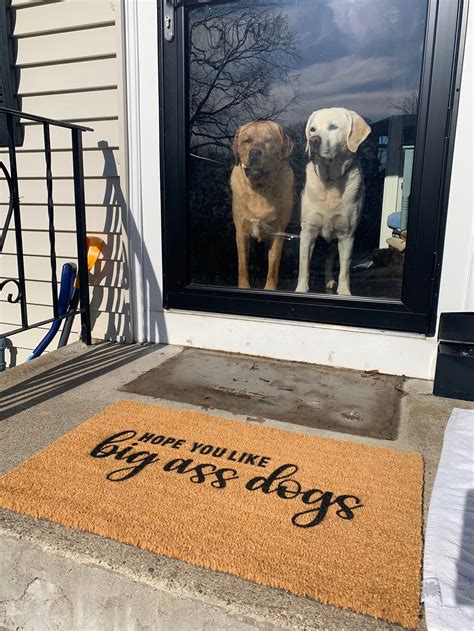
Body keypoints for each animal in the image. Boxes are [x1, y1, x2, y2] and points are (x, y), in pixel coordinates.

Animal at [231, 121, 294, 292]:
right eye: (246, 141)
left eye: (268, 141)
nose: (254, 153)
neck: (259, 188)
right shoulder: (241, 231)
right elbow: (242, 265)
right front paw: (244, 287)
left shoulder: (278, 233)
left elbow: (273, 268)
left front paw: (270, 289)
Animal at [296, 108, 370, 296]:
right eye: (312, 129)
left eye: (333, 127)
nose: (313, 141)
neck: (329, 182)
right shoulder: (307, 232)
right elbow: (303, 266)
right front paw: (301, 289)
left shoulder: (347, 235)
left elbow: (344, 270)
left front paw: (344, 292)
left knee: (330, 259)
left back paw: (329, 281)